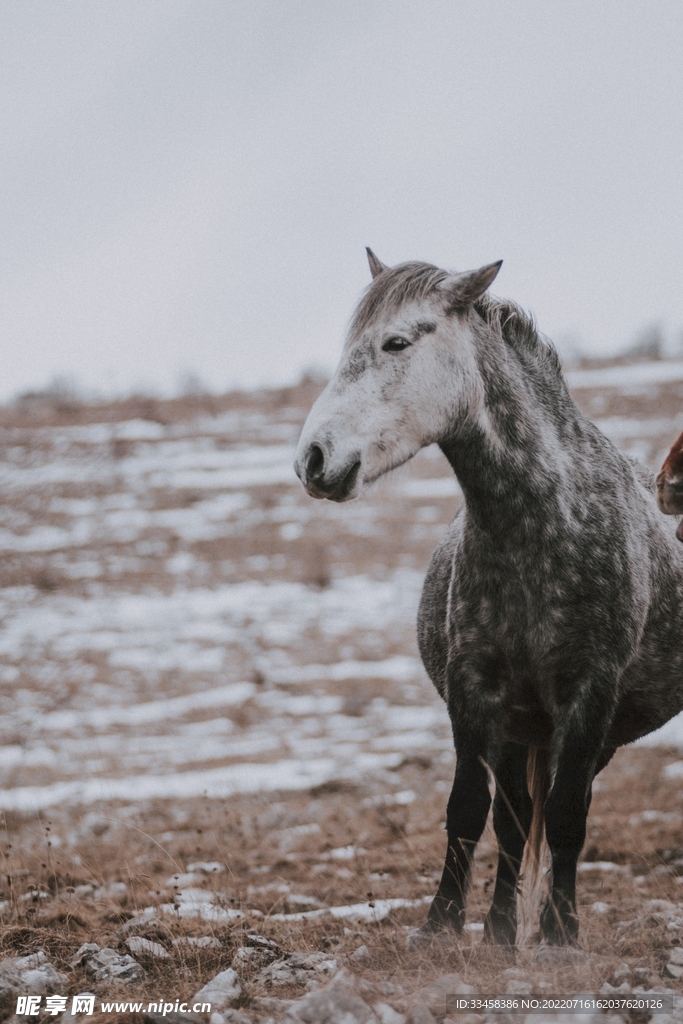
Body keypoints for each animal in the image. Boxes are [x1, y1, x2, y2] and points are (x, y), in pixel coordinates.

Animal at [292, 251, 683, 946]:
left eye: (397, 342)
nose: (313, 459)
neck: (539, 526)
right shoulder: (474, 689)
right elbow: (470, 809)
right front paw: (441, 927)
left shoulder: (589, 693)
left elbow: (567, 818)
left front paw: (560, 937)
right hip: (522, 731)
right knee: (515, 815)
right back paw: (500, 930)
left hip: (587, 736)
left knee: (555, 811)